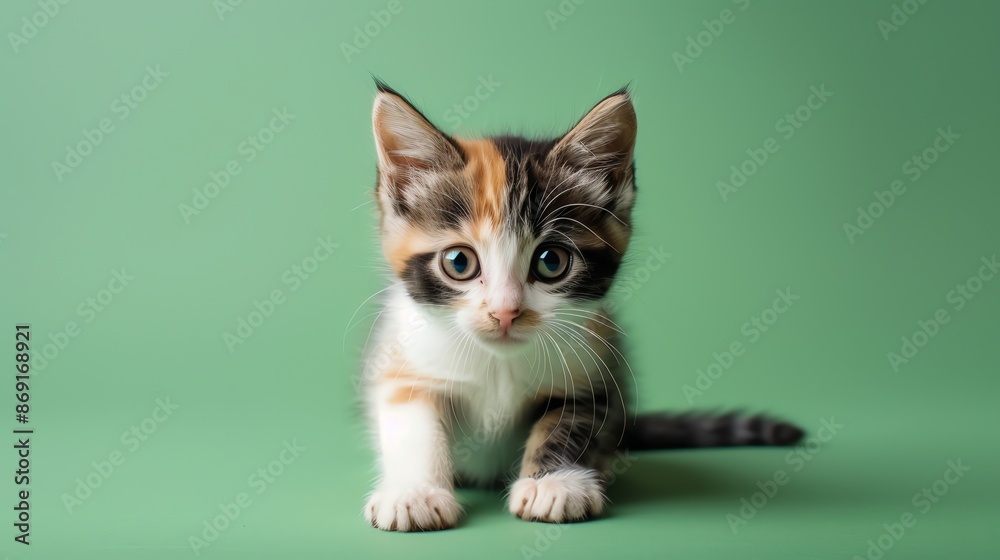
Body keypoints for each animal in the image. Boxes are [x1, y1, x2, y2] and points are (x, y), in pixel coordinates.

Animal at [364, 81, 800, 532]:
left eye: (551, 261)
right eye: (459, 262)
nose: (505, 312)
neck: (499, 363)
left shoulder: (595, 370)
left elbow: (570, 423)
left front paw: (554, 484)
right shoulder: (401, 362)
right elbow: (413, 424)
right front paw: (414, 494)